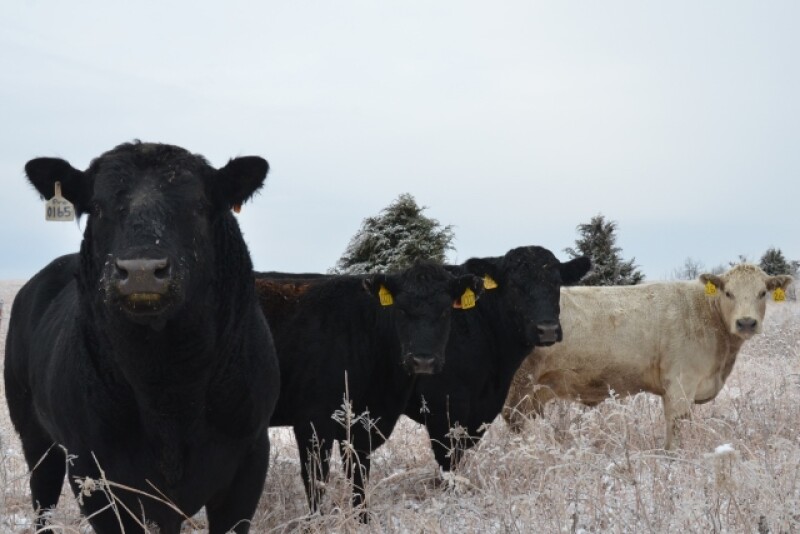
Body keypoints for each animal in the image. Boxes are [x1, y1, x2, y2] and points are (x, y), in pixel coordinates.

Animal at [4, 142, 280, 534]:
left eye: (198, 205)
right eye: (97, 207)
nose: (141, 272)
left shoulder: (250, 460)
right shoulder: (96, 474)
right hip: (35, 436)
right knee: (42, 500)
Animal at [254, 262, 482, 517]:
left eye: (445, 311)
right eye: (401, 310)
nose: (423, 360)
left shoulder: (363, 424)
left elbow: (359, 476)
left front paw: (361, 518)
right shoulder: (312, 421)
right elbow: (316, 479)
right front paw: (317, 521)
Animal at [503, 264, 794, 449]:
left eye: (762, 292)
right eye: (728, 292)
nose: (746, 323)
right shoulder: (680, 384)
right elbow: (676, 431)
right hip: (517, 386)